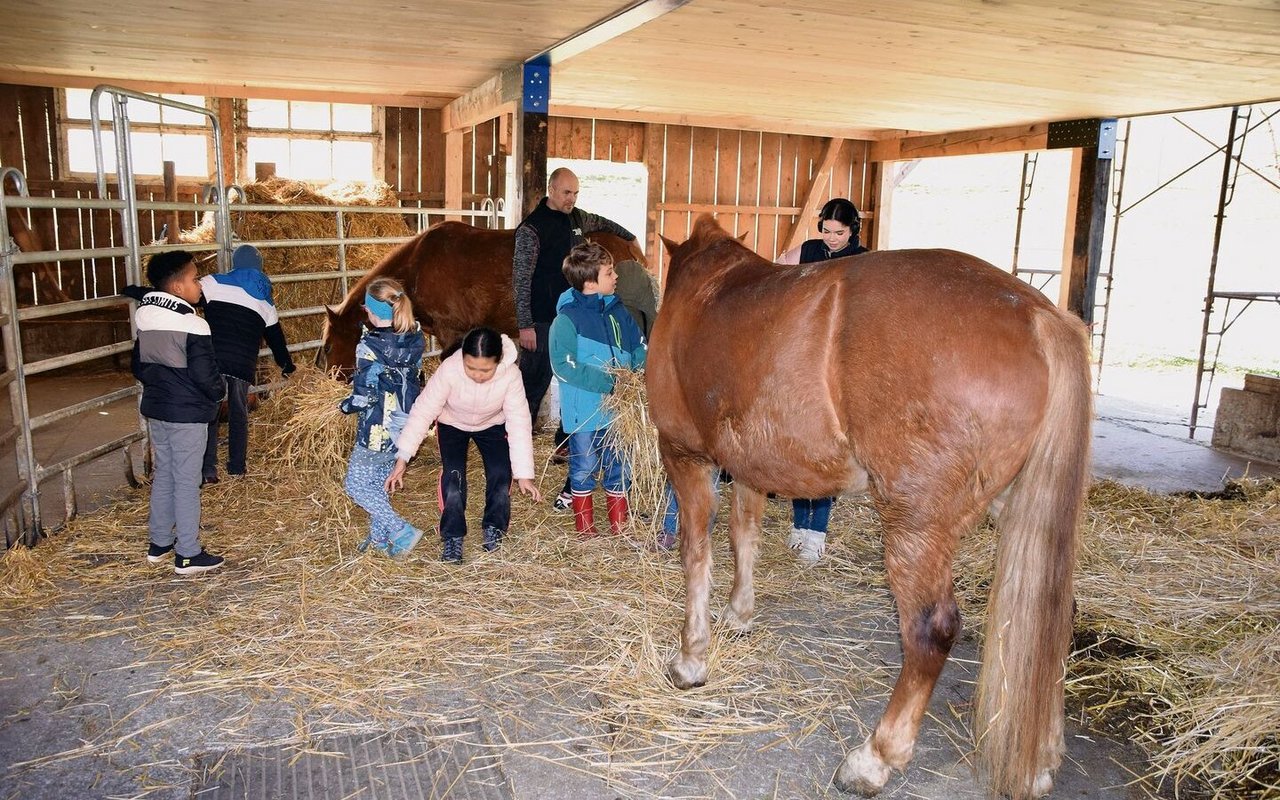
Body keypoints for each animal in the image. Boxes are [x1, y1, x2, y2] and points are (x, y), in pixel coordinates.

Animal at [650, 213, 1090, 798]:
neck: (706, 286)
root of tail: (1041, 317)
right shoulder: (748, 466)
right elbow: (745, 536)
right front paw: (739, 614)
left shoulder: (685, 455)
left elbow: (696, 554)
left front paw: (690, 658)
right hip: (1019, 513)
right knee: (1048, 619)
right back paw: (1041, 758)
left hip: (916, 525)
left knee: (931, 629)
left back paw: (874, 758)